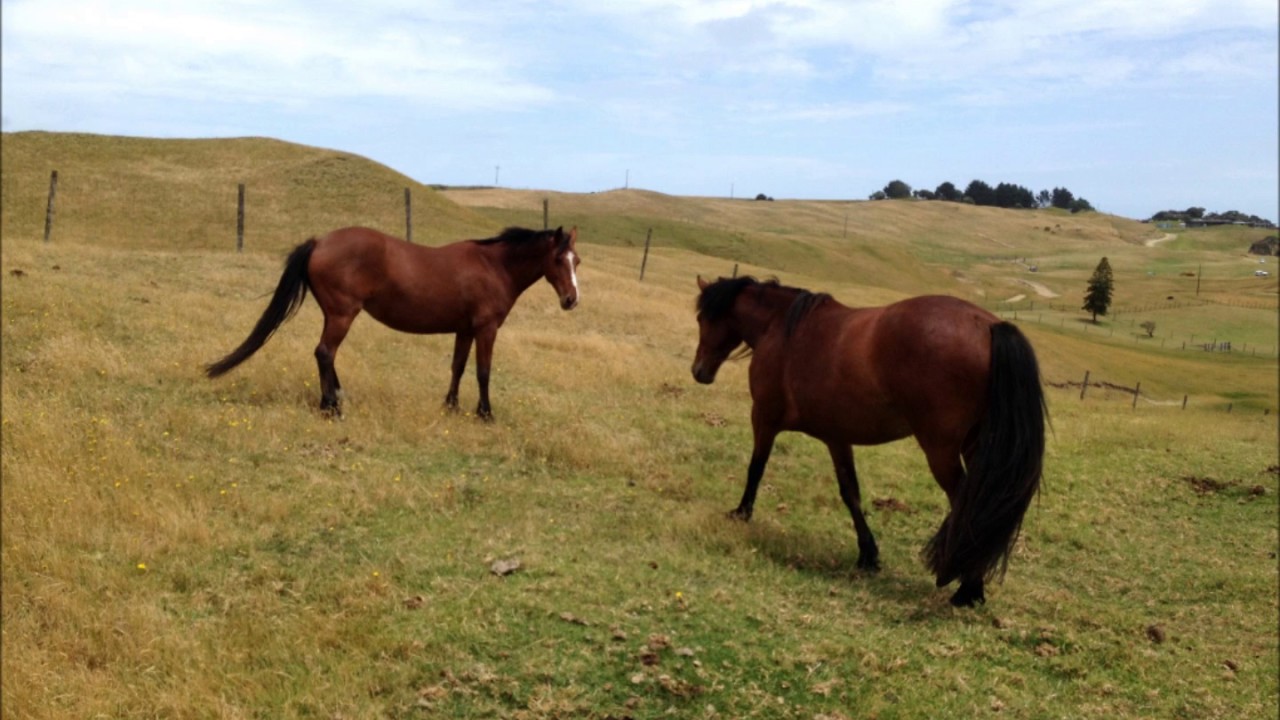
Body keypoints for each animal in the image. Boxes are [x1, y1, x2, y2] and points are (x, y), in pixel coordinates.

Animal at [206, 225, 581, 419]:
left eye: (576, 260)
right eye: (558, 259)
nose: (571, 300)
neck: (494, 266)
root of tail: (320, 241)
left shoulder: (464, 329)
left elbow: (458, 367)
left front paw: (451, 406)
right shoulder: (486, 329)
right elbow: (483, 372)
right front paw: (485, 413)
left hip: (334, 314)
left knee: (326, 355)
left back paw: (337, 398)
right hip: (342, 315)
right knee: (325, 352)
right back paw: (331, 407)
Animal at [691, 276, 1047, 606]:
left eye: (702, 319)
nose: (699, 371)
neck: (781, 328)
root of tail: (988, 326)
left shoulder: (764, 418)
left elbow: (756, 468)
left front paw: (741, 513)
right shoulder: (836, 437)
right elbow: (850, 492)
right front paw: (867, 554)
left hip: (941, 451)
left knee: (966, 503)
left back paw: (966, 586)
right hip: (977, 447)